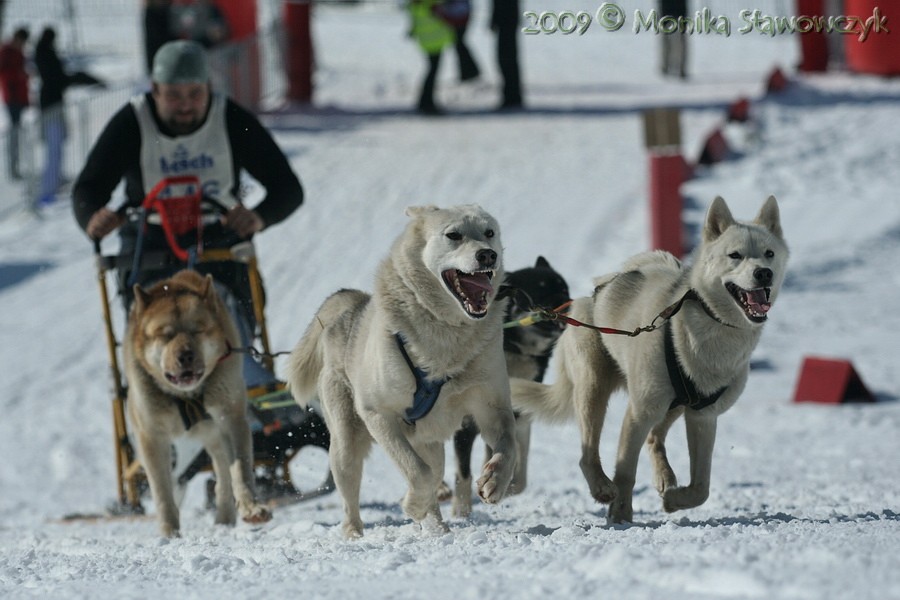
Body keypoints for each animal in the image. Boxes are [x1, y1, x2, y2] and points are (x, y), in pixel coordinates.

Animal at [124, 270, 270, 536]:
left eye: (197, 330)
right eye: (166, 334)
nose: (185, 355)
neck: (186, 397)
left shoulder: (230, 419)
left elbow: (240, 469)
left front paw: (251, 507)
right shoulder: (151, 436)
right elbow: (162, 490)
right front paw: (169, 531)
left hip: (215, 433)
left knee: (222, 474)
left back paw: (225, 514)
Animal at [284, 206, 516, 540]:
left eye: (489, 233)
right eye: (453, 234)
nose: (487, 255)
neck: (445, 344)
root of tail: (351, 302)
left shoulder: (492, 407)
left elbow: (508, 445)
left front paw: (495, 482)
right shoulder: (378, 414)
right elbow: (417, 473)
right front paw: (412, 505)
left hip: (430, 441)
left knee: (435, 469)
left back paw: (437, 528)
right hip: (345, 442)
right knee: (353, 490)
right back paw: (354, 532)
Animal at [450, 254, 568, 516]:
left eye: (564, 288)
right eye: (538, 291)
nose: (569, 304)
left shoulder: (518, 418)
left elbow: (518, 473)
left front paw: (502, 485)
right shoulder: (465, 426)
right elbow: (463, 474)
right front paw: (462, 513)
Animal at [512, 198, 788, 524]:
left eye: (769, 253)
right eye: (735, 255)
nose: (764, 273)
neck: (712, 331)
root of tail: (585, 297)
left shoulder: (703, 417)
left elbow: (701, 487)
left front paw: (675, 499)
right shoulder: (639, 412)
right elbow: (625, 472)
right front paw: (619, 514)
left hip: (671, 405)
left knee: (654, 439)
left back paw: (665, 478)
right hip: (596, 389)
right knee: (588, 453)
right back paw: (602, 486)